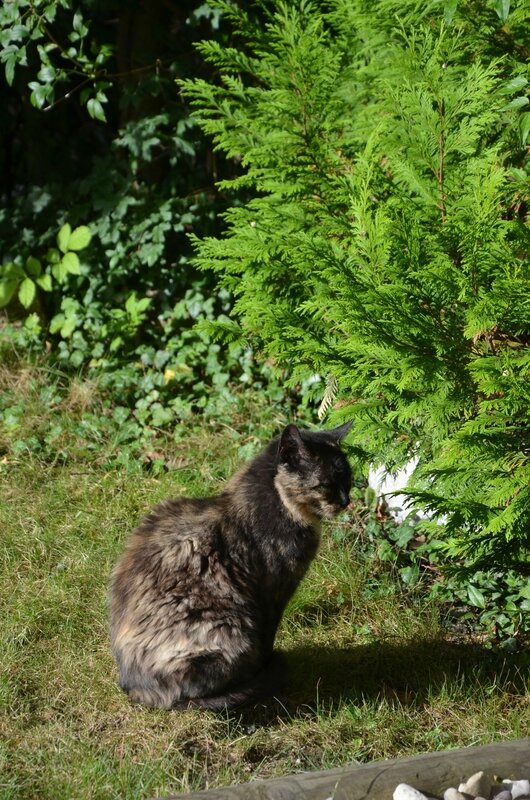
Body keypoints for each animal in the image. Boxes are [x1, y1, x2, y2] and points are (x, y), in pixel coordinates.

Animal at [107, 422, 350, 708]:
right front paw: (265, 668)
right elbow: (267, 639)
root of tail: (133, 687)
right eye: (325, 484)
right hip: (227, 629)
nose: (346, 501)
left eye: (348, 478)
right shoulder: (271, 596)